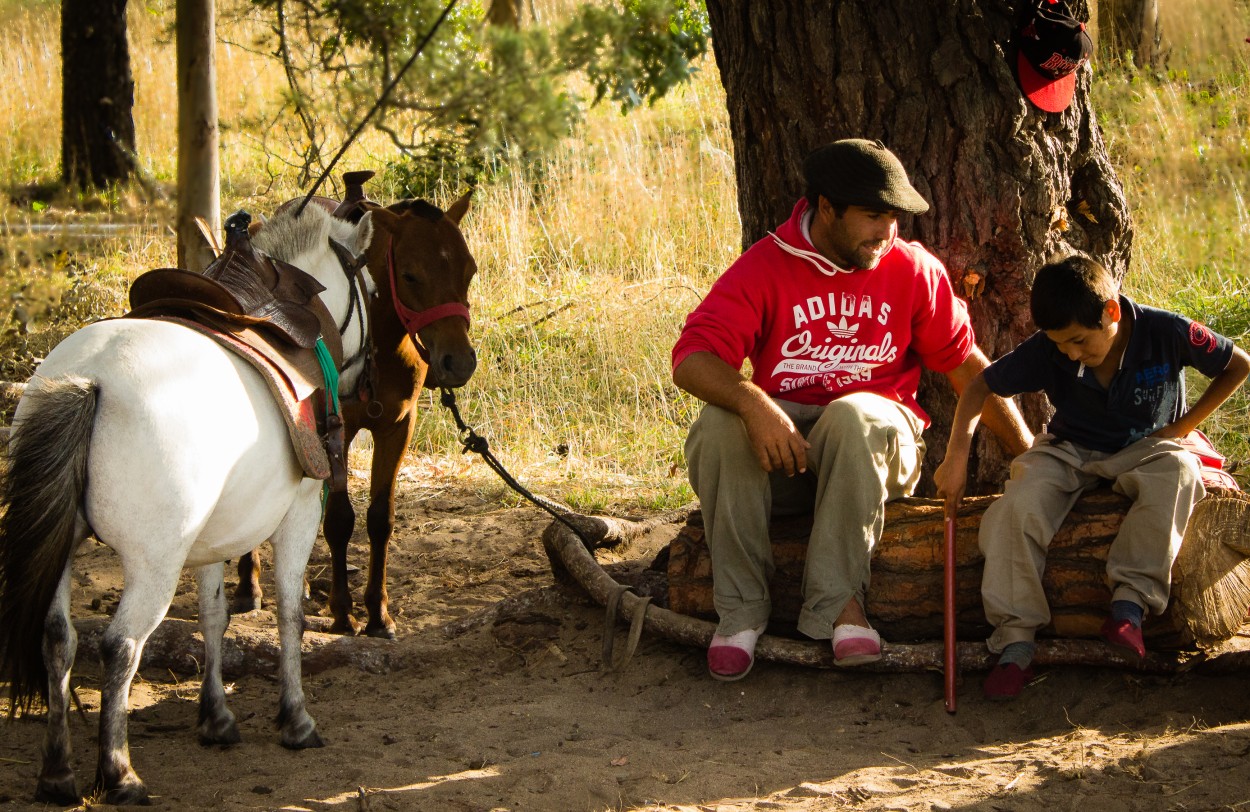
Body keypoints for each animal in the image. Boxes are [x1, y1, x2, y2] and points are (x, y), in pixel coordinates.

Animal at [0, 203, 372, 804]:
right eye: (372, 289)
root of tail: (88, 379)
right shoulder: (299, 513)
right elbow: (289, 614)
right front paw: (296, 720)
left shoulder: (214, 536)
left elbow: (212, 615)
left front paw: (216, 718)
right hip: (154, 563)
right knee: (121, 645)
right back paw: (120, 773)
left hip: (62, 545)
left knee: (57, 639)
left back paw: (57, 773)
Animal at [235, 186, 477, 634]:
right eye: (410, 275)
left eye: (468, 271)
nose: (459, 362)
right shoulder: (340, 430)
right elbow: (339, 520)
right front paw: (343, 611)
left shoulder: (398, 426)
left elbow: (380, 519)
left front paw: (378, 614)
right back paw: (248, 585)